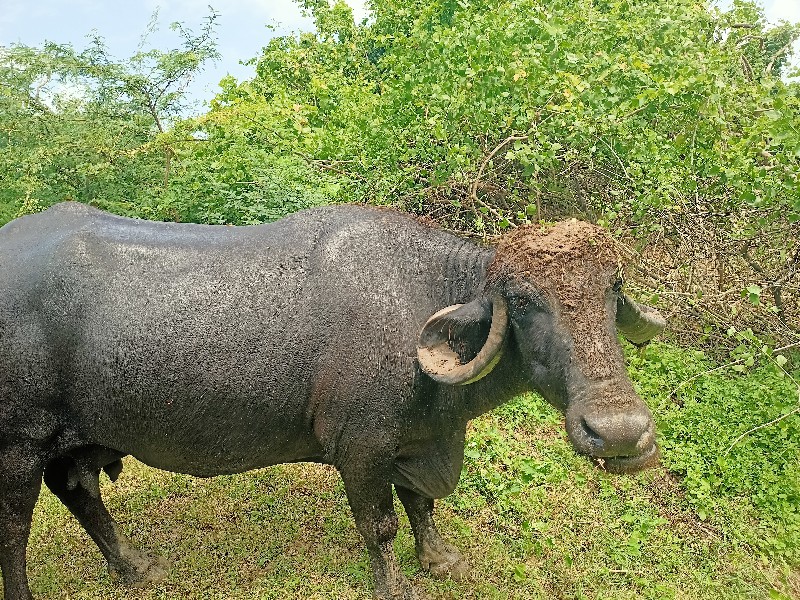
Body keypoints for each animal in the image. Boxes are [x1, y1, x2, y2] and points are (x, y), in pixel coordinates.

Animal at [0, 204, 664, 596]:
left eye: (613, 290)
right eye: (524, 302)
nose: (618, 431)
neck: (418, 303)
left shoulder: (415, 440)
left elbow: (421, 503)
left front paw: (437, 557)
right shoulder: (361, 450)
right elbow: (380, 526)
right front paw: (394, 584)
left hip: (77, 439)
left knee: (80, 492)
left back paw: (135, 566)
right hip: (18, 445)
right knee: (15, 529)